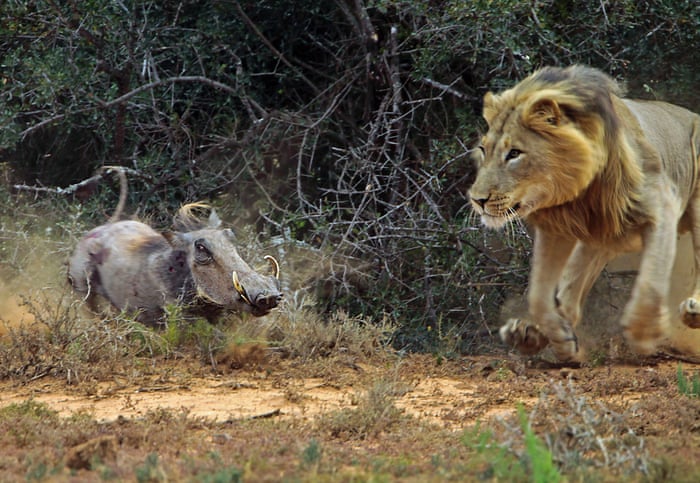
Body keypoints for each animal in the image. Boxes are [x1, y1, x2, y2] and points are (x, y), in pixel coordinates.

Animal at [468, 65, 700, 362]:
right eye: (483, 149)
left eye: (515, 153)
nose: (477, 200)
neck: (578, 194)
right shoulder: (556, 229)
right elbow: (539, 295)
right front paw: (561, 339)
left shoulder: (661, 205)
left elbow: (651, 281)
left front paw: (644, 334)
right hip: (602, 237)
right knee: (569, 289)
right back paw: (529, 334)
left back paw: (693, 311)